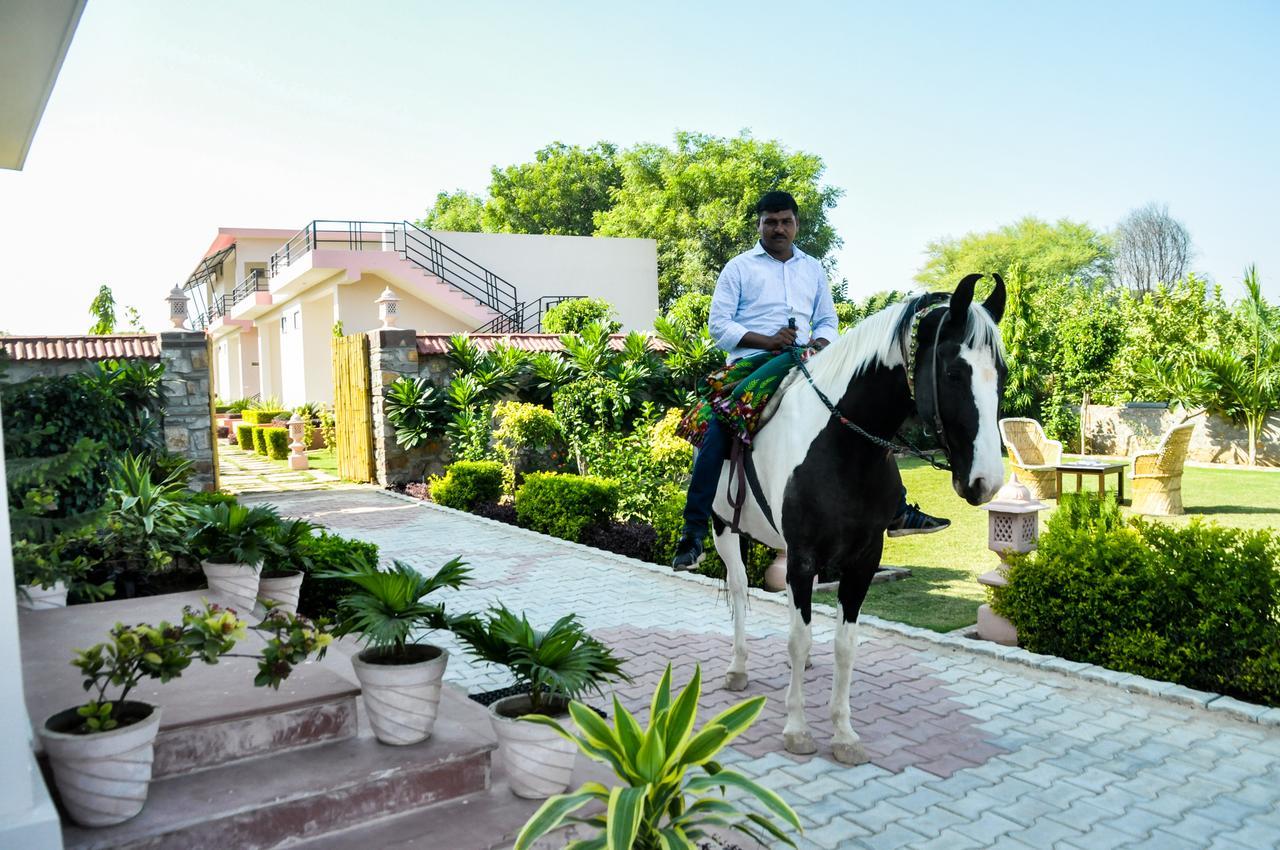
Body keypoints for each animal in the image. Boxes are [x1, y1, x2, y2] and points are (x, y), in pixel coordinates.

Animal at [716, 273, 1003, 762]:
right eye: (953, 373)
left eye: (999, 373)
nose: (987, 481)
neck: (841, 446)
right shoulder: (802, 556)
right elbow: (798, 635)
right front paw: (797, 729)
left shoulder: (865, 558)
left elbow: (844, 644)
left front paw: (844, 734)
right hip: (724, 529)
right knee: (738, 589)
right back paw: (737, 668)